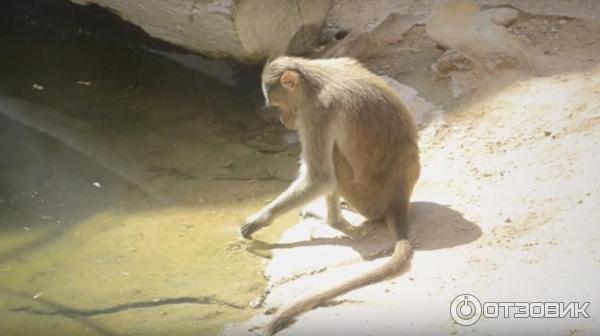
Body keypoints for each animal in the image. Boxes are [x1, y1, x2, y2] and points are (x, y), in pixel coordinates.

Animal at [240, 56, 422, 334]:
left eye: (278, 105)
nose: (284, 121)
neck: (315, 80)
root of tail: (399, 200)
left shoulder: (315, 115)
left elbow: (321, 178)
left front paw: (260, 218)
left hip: (366, 198)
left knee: (334, 162)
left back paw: (336, 223)